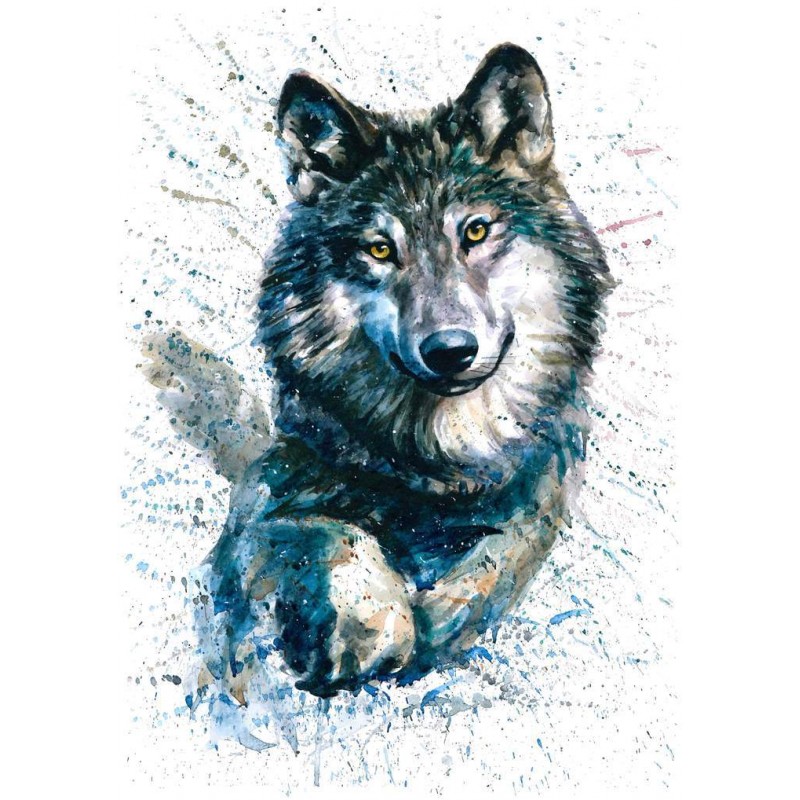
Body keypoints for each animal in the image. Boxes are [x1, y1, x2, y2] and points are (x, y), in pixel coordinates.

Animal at [147, 43, 612, 700]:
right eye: (380, 249)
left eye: (475, 231)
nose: (450, 350)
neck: (438, 465)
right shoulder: (267, 493)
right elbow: (335, 531)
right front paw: (374, 628)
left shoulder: (542, 484)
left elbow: (501, 555)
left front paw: (439, 619)